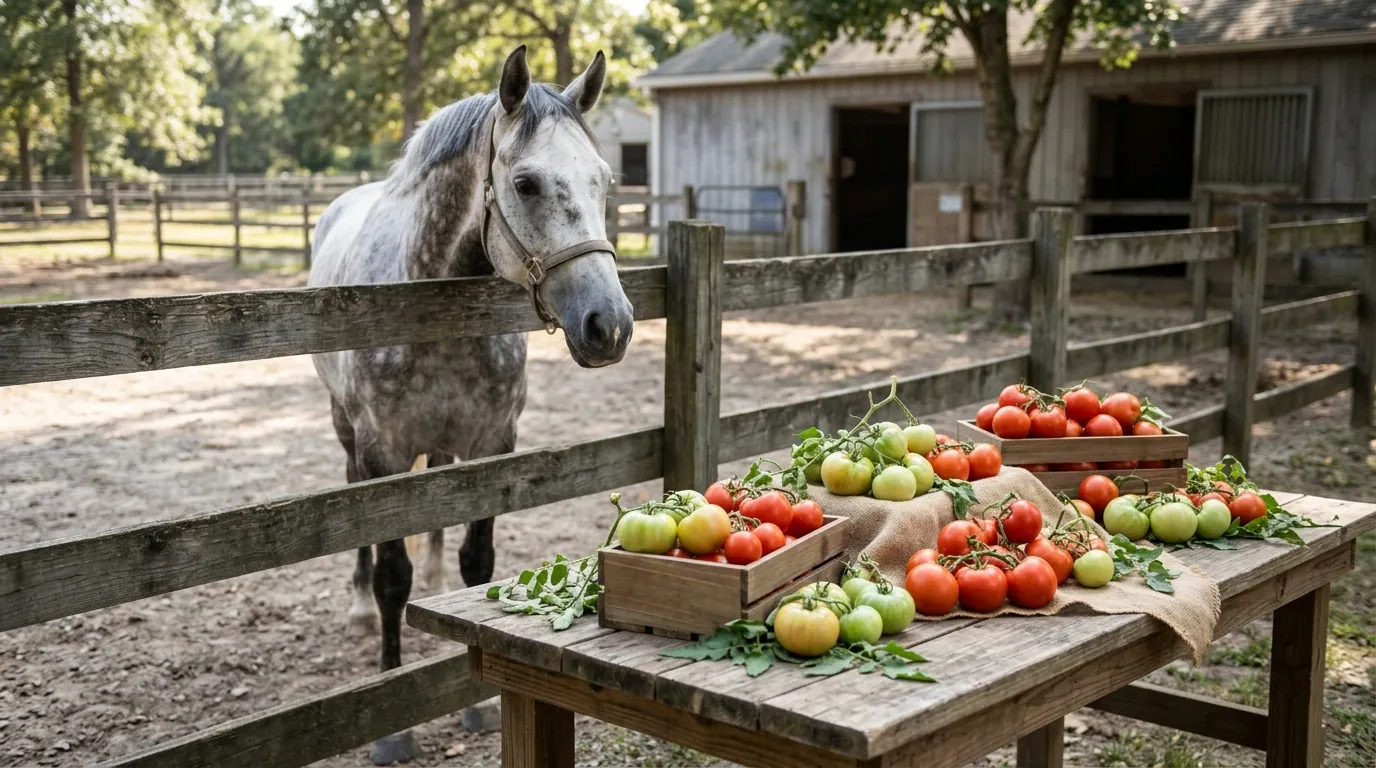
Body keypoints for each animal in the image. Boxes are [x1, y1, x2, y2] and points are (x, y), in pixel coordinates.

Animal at [307, 46, 633, 764]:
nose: (611, 326)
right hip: (347, 433)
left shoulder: (491, 444)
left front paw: (478, 702)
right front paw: (392, 729)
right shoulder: (384, 453)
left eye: (604, 181)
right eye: (527, 184)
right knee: (354, 509)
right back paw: (356, 607)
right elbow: (391, 576)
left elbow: (476, 563)